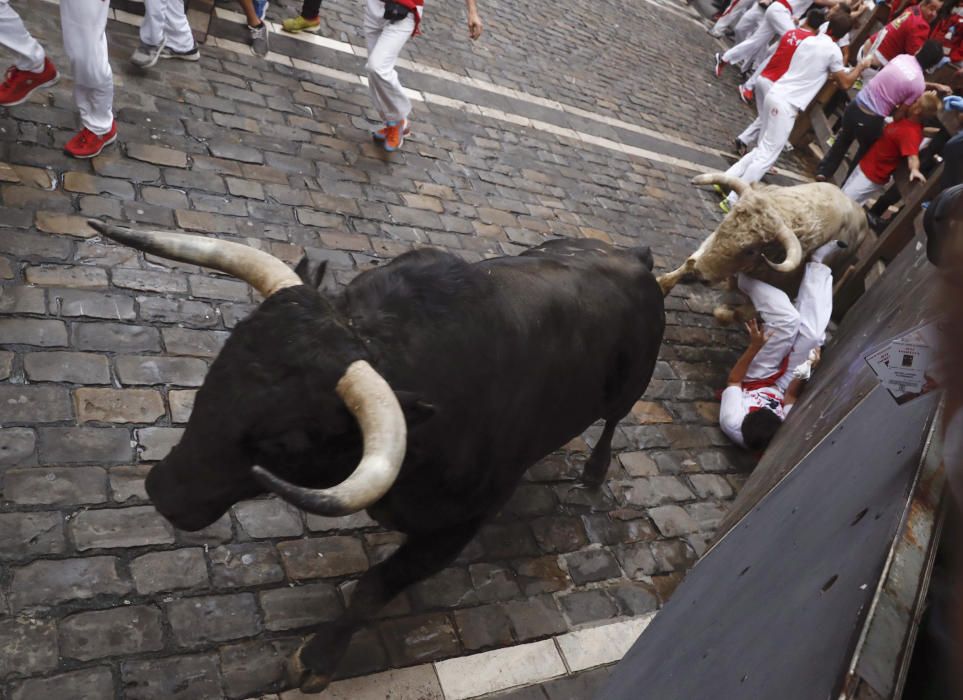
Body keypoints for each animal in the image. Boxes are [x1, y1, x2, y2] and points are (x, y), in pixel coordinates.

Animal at [92, 226, 664, 696]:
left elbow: (374, 588)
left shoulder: (457, 526)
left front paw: (317, 660)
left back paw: (593, 473)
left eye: (287, 443)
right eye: (219, 367)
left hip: (630, 390)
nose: (163, 491)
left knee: (610, 425)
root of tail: (633, 253)